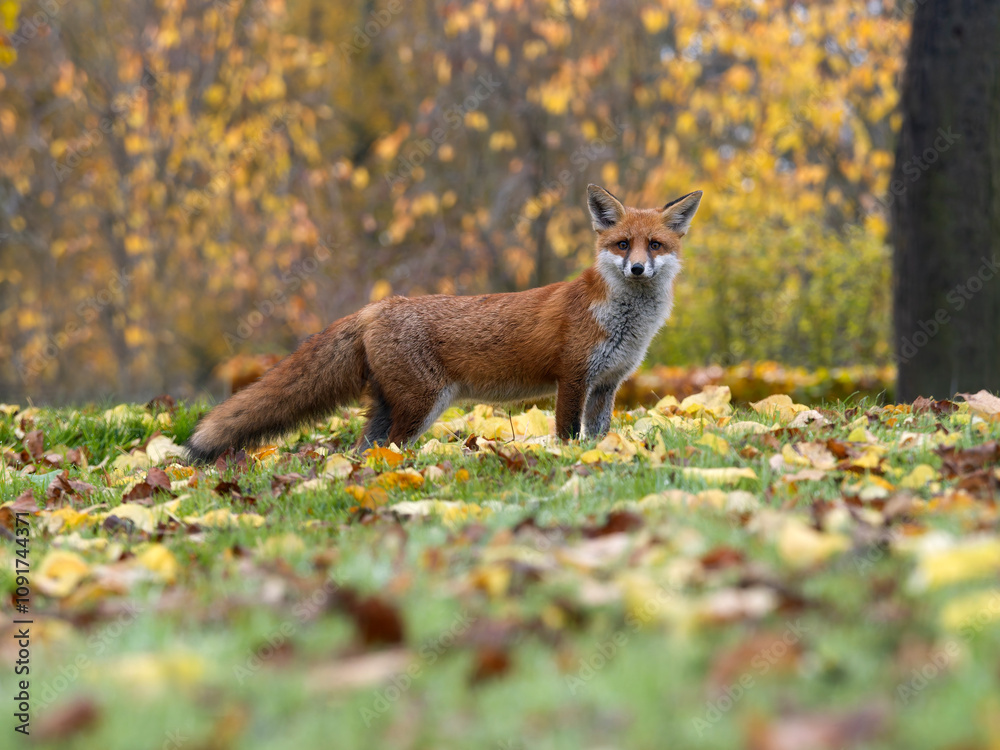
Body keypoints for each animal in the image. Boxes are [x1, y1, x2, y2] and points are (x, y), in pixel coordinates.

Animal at [185, 185, 703, 462]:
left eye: (655, 245)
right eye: (622, 245)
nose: (637, 269)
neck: (624, 322)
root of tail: (378, 306)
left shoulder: (607, 384)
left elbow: (597, 435)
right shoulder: (573, 377)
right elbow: (566, 435)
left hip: (392, 408)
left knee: (362, 450)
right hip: (421, 405)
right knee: (389, 449)